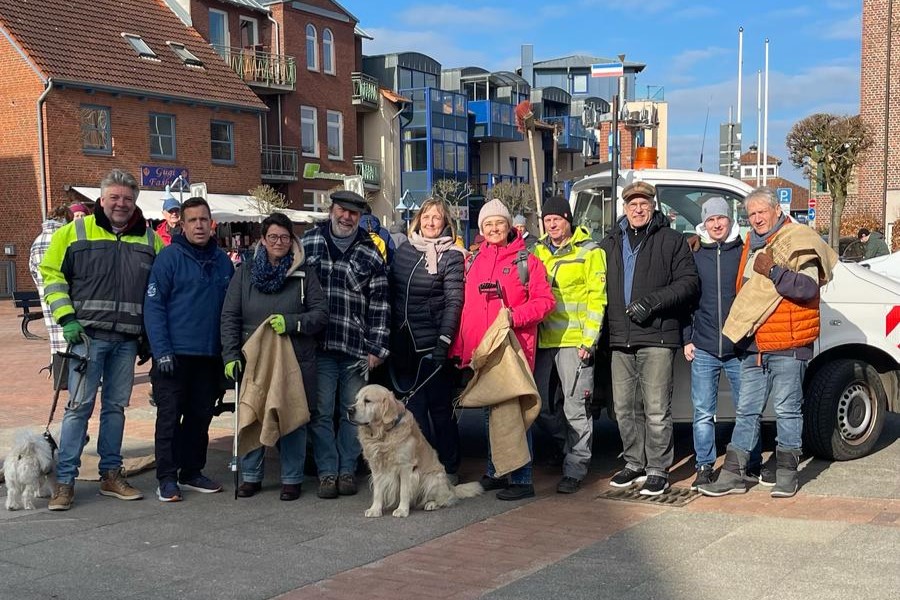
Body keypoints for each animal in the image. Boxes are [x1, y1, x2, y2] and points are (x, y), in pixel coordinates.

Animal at [349, 384, 483, 518]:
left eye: (367, 401)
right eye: (356, 400)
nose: (349, 410)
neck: (383, 435)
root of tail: (449, 485)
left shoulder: (406, 467)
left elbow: (404, 491)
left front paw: (402, 510)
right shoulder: (376, 467)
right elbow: (378, 491)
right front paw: (375, 509)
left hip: (432, 479)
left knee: (446, 499)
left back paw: (432, 504)